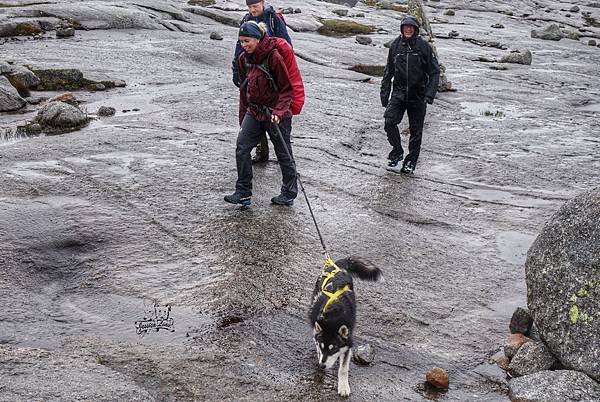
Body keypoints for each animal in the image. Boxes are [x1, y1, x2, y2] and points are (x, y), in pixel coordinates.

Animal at [310, 256, 380, 398]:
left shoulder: (348, 343)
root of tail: (337, 266)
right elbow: (318, 346)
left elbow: (343, 368)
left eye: (333, 348)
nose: (322, 366)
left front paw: (343, 386)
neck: (333, 316)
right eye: (322, 346)